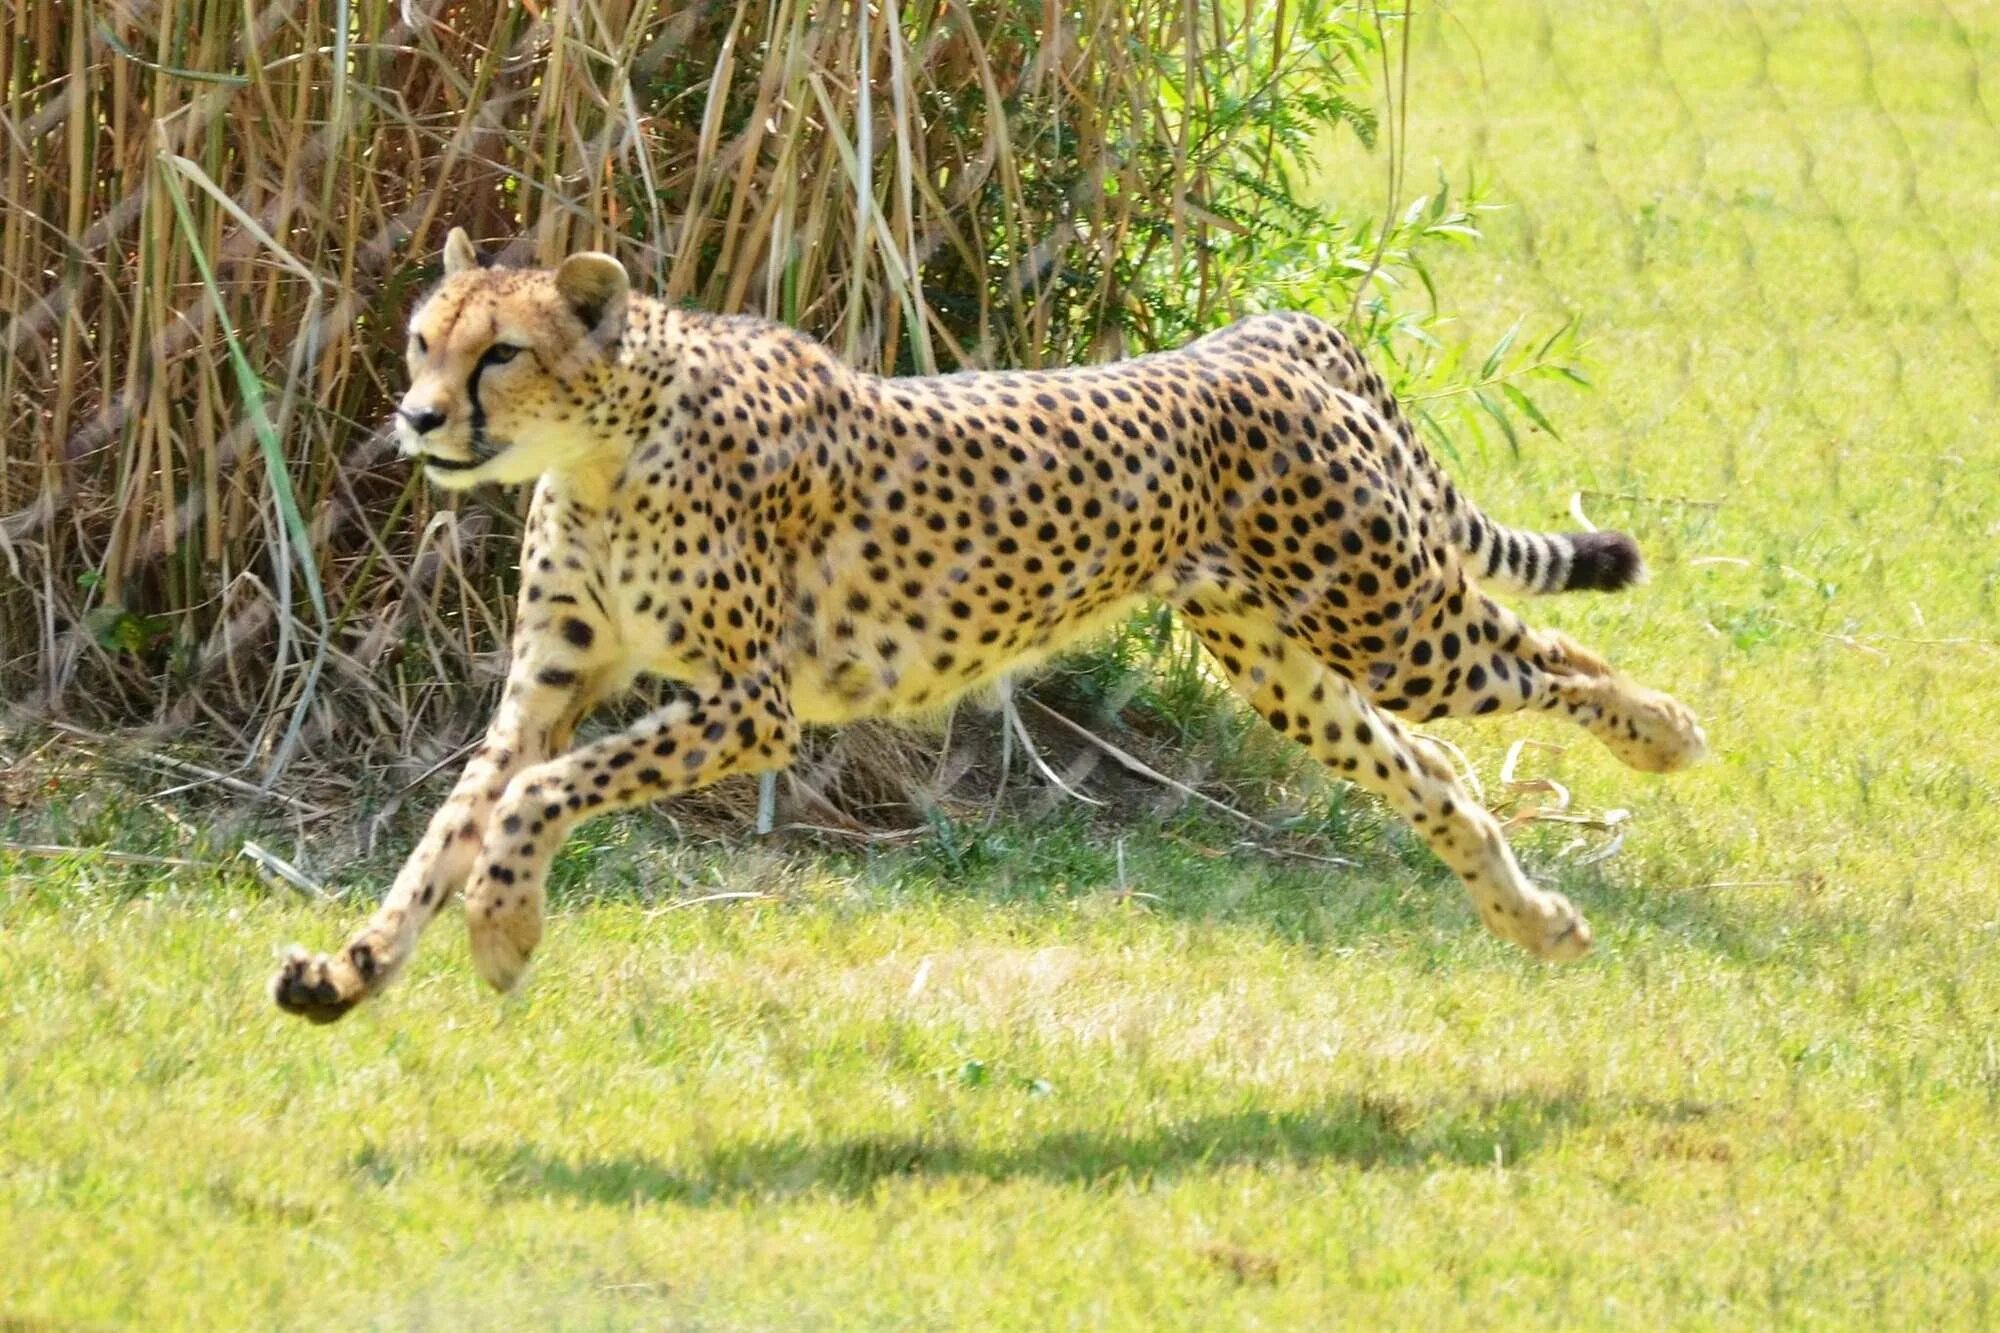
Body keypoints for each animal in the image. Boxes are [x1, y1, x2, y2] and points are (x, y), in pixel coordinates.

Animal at [270, 228, 1704, 1016]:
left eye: (499, 354)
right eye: (421, 340)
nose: (415, 418)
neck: (609, 449)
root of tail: (1260, 336)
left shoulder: (753, 707)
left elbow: (534, 799)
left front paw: (503, 932)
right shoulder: (550, 688)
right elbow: (452, 824)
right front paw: (352, 969)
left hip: (1388, 614)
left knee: (1549, 655)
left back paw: (1664, 734)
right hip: (1283, 656)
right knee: (1433, 767)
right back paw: (1534, 918)